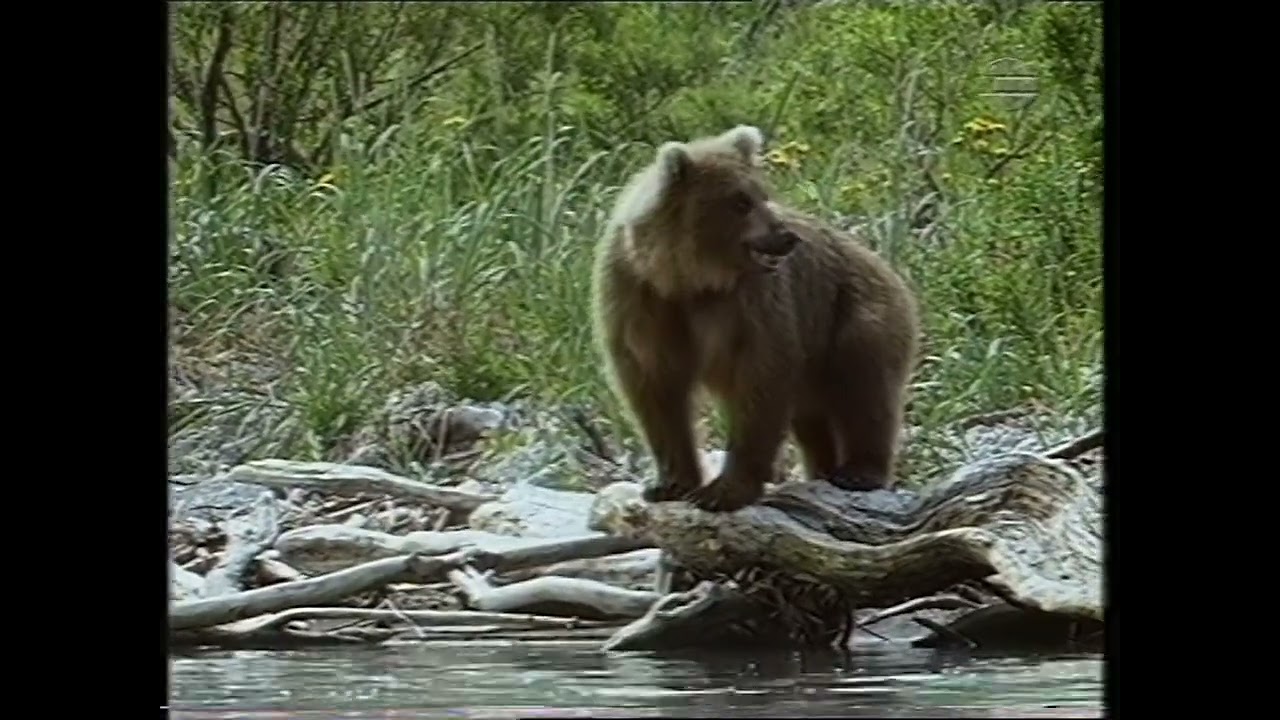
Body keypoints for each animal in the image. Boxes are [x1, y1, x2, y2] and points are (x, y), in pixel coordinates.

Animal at [590, 124, 920, 513]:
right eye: (740, 202)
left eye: (763, 193)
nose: (787, 237)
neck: (688, 279)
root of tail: (888, 268)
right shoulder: (639, 295)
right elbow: (655, 387)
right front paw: (669, 484)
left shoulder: (752, 303)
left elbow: (761, 378)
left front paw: (723, 490)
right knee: (815, 416)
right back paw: (822, 469)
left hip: (853, 317)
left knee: (864, 388)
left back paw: (859, 472)